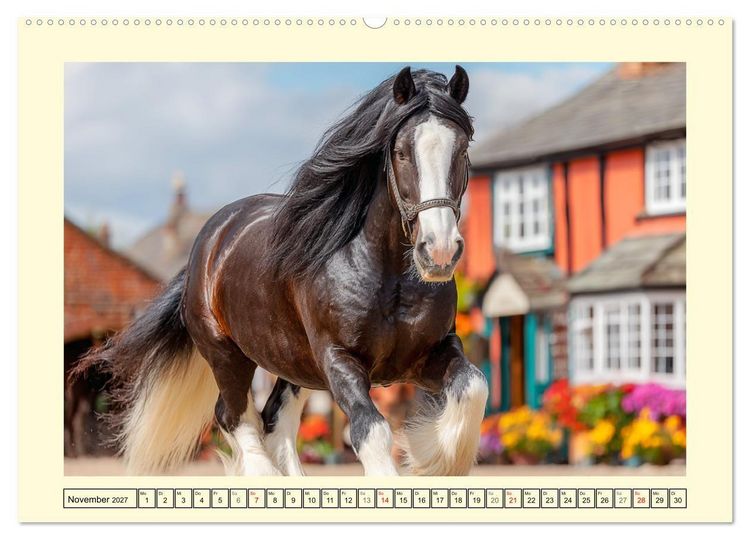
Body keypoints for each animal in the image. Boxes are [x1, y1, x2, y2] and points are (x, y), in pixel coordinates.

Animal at [73, 65, 489, 476]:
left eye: (462, 149)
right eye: (401, 153)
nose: (439, 251)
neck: (388, 278)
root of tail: (207, 245)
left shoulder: (429, 353)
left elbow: (474, 387)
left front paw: (437, 460)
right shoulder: (340, 360)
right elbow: (372, 433)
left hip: (294, 366)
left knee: (274, 422)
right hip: (228, 356)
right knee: (233, 416)